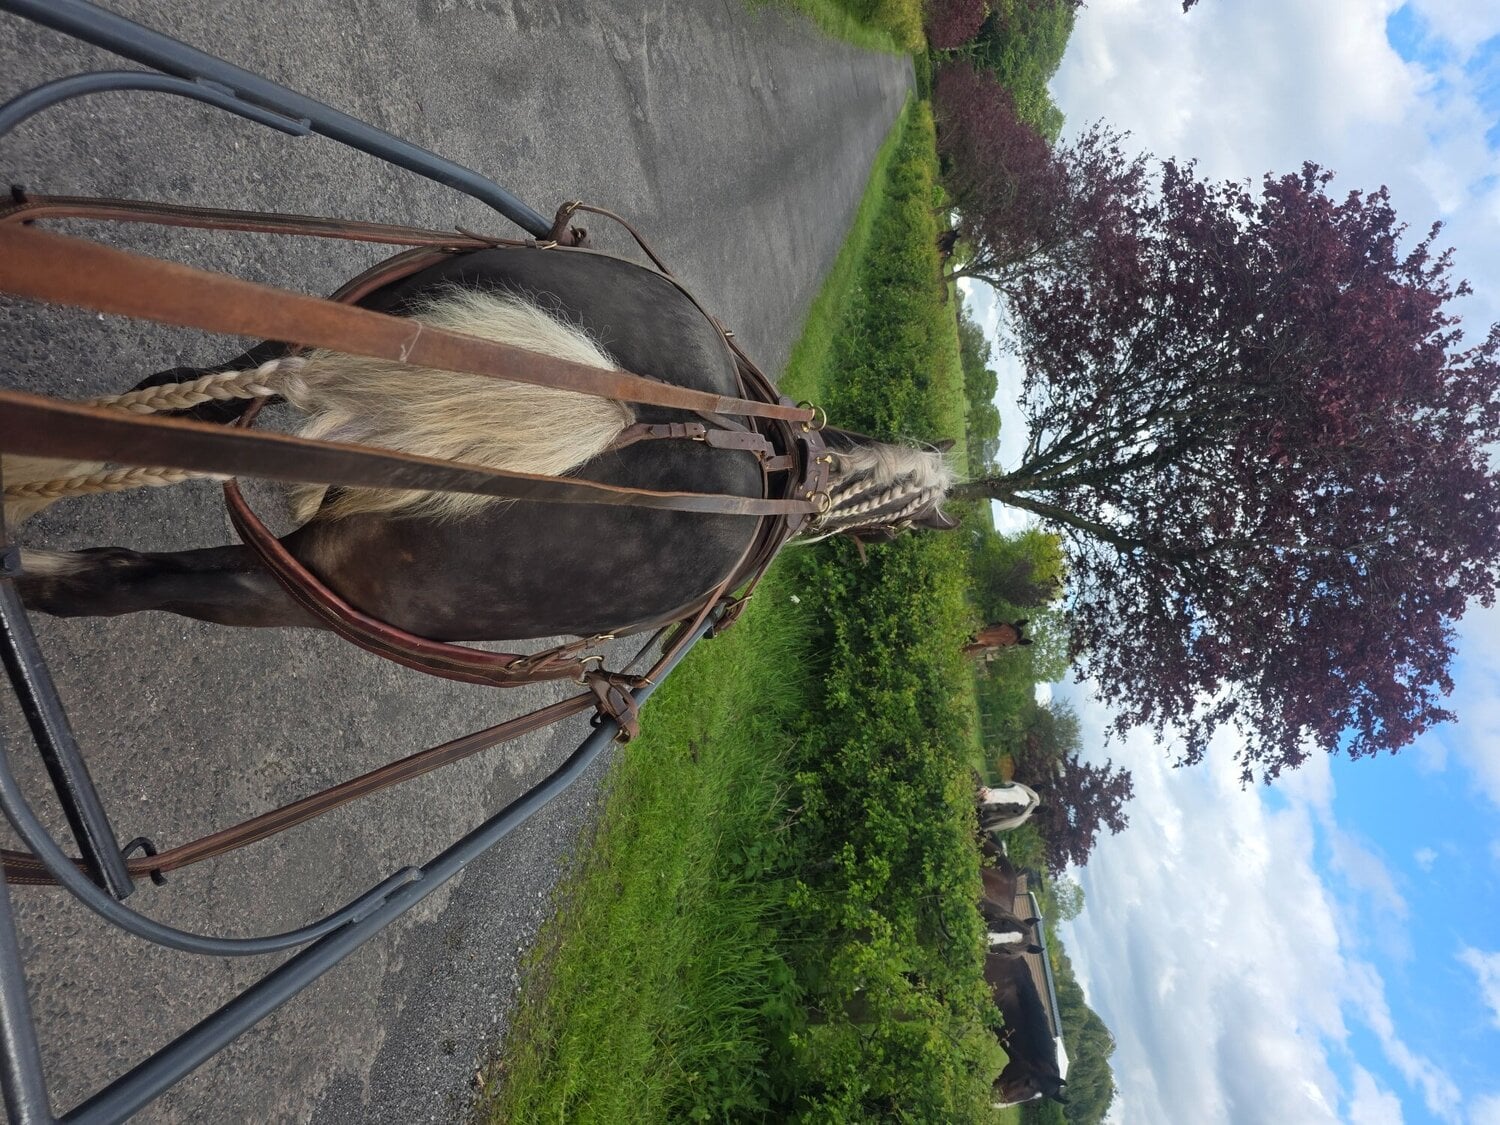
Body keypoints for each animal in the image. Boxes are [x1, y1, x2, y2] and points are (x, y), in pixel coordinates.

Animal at [8, 246, 959, 640]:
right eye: (899, 531)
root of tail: (616, 413)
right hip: (339, 590)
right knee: (139, 582)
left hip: (311, 340)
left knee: (193, 400)